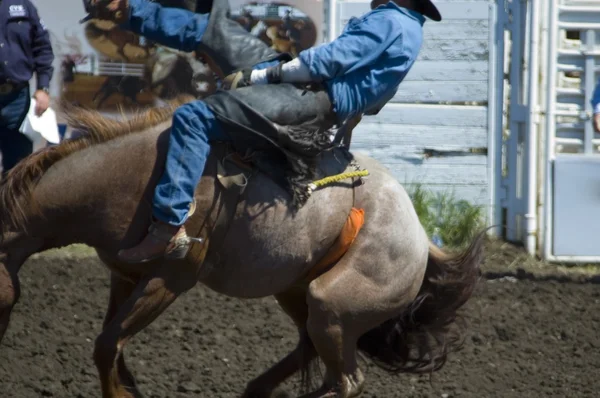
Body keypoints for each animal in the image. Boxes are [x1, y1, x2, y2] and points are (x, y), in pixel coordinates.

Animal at [0, 97, 482, 398]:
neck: (132, 178)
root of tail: (422, 238)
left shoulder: (169, 279)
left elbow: (105, 346)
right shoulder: (124, 275)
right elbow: (111, 348)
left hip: (333, 302)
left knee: (347, 381)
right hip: (296, 292)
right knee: (312, 353)